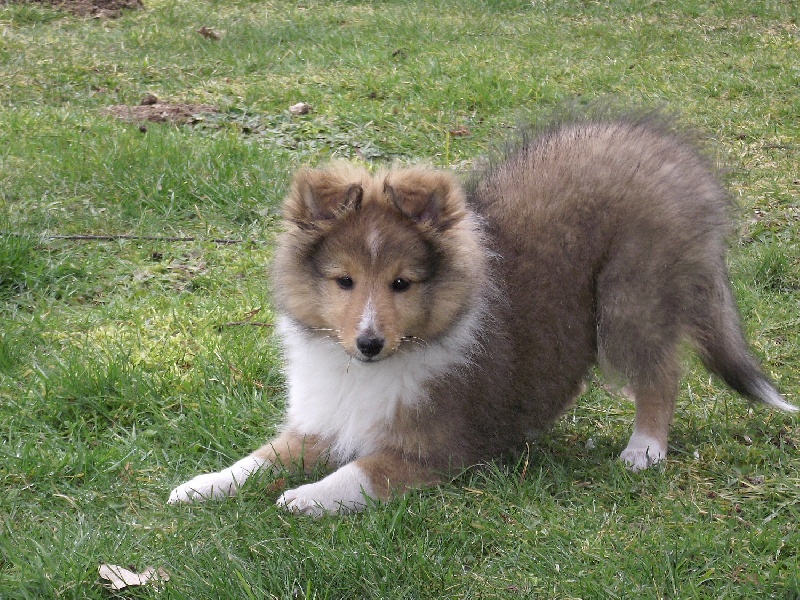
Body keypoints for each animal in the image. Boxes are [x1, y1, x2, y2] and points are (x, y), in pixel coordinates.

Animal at [168, 115, 796, 515]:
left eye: (402, 283)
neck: (370, 370)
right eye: (343, 281)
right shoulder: (323, 421)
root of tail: (672, 151)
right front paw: (199, 486)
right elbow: (258, 459)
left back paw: (644, 450)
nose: (369, 342)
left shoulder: (439, 446)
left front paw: (304, 498)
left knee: (661, 373)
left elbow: (361, 473)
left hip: (632, 296)